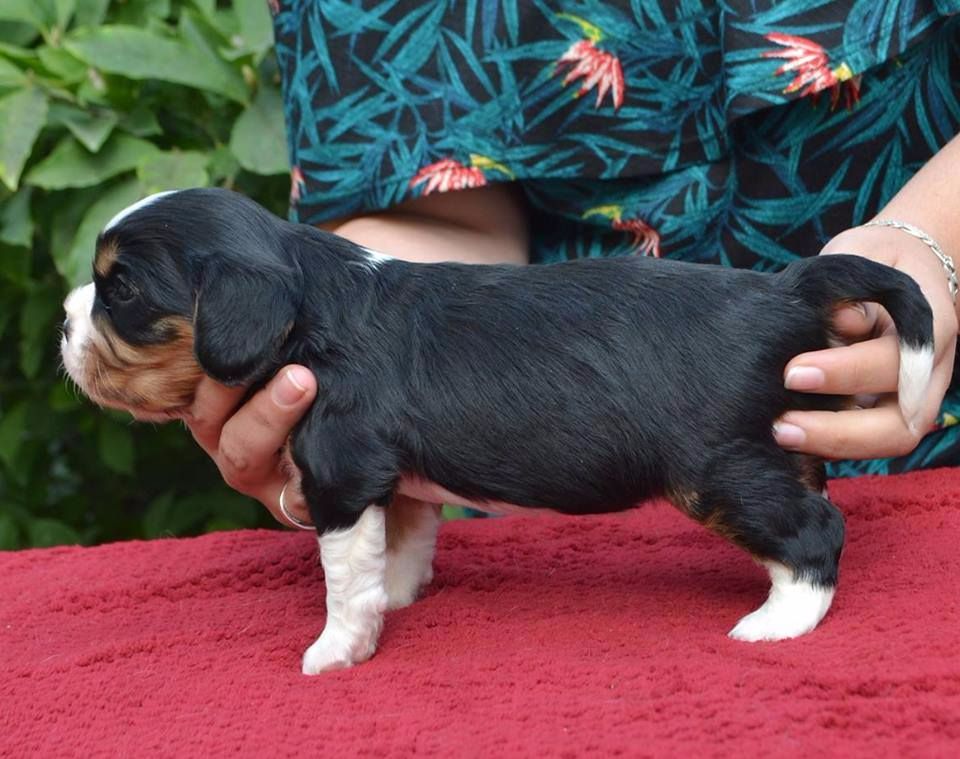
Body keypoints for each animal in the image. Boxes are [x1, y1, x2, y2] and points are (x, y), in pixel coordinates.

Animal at [61, 188, 933, 674]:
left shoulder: (340, 471)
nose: (65, 324)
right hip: (781, 444)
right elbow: (403, 539)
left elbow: (343, 576)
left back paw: (777, 622)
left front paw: (337, 649)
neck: (312, 302)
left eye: (122, 289)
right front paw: (400, 597)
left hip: (721, 468)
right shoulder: (391, 482)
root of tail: (788, 291)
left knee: (815, 532)